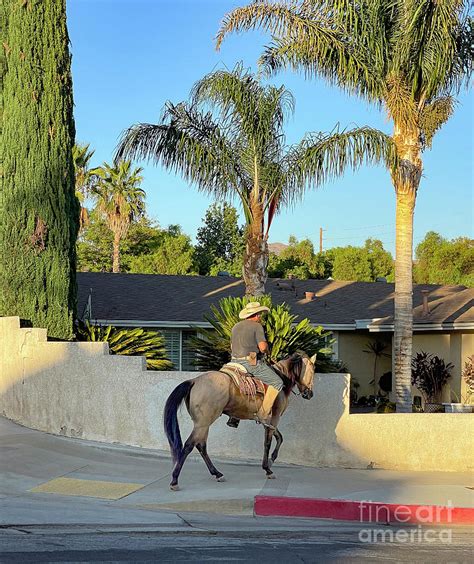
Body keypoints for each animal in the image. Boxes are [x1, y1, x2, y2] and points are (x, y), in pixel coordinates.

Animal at [163, 352, 314, 490]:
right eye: (312, 372)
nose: (310, 394)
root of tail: (194, 381)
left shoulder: (267, 421)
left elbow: (280, 438)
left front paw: (271, 460)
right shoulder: (274, 417)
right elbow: (268, 442)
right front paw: (268, 468)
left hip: (203, 423)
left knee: (201, 445)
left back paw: (217, 473)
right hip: (203, 423)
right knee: (189, 445)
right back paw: (175, 480)